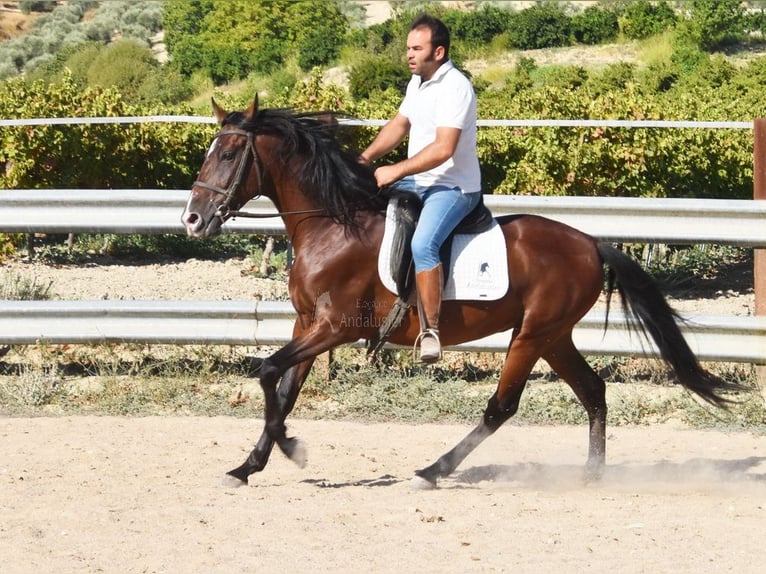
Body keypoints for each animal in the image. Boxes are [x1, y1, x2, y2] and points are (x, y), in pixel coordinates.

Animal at [180, 95, 744, 490]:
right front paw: (247, 466)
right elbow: (285, 388)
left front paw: (291, 448)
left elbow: (267, 371)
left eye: (228, 153)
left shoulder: (334, 327)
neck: (332, 224)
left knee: (502, 407)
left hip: (531, 335)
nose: (192, 220)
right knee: (593, 392)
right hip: (553, 336)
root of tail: (589, 242)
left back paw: (433, 471)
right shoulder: (307, 325)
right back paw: (590, 474)